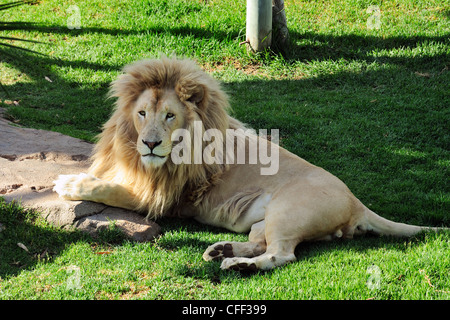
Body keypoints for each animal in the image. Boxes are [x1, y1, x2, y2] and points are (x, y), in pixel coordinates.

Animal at [52, 56, 442, 272]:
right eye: (142, 113)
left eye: (170, 116)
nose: (150, 143)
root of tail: (357, 203)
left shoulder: (168, 198)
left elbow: (114, 190)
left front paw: (71, 184)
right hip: (263, 221)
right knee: (261, 243)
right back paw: (221, 250)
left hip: (288, 210)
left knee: (282, 255)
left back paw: (237, 264)